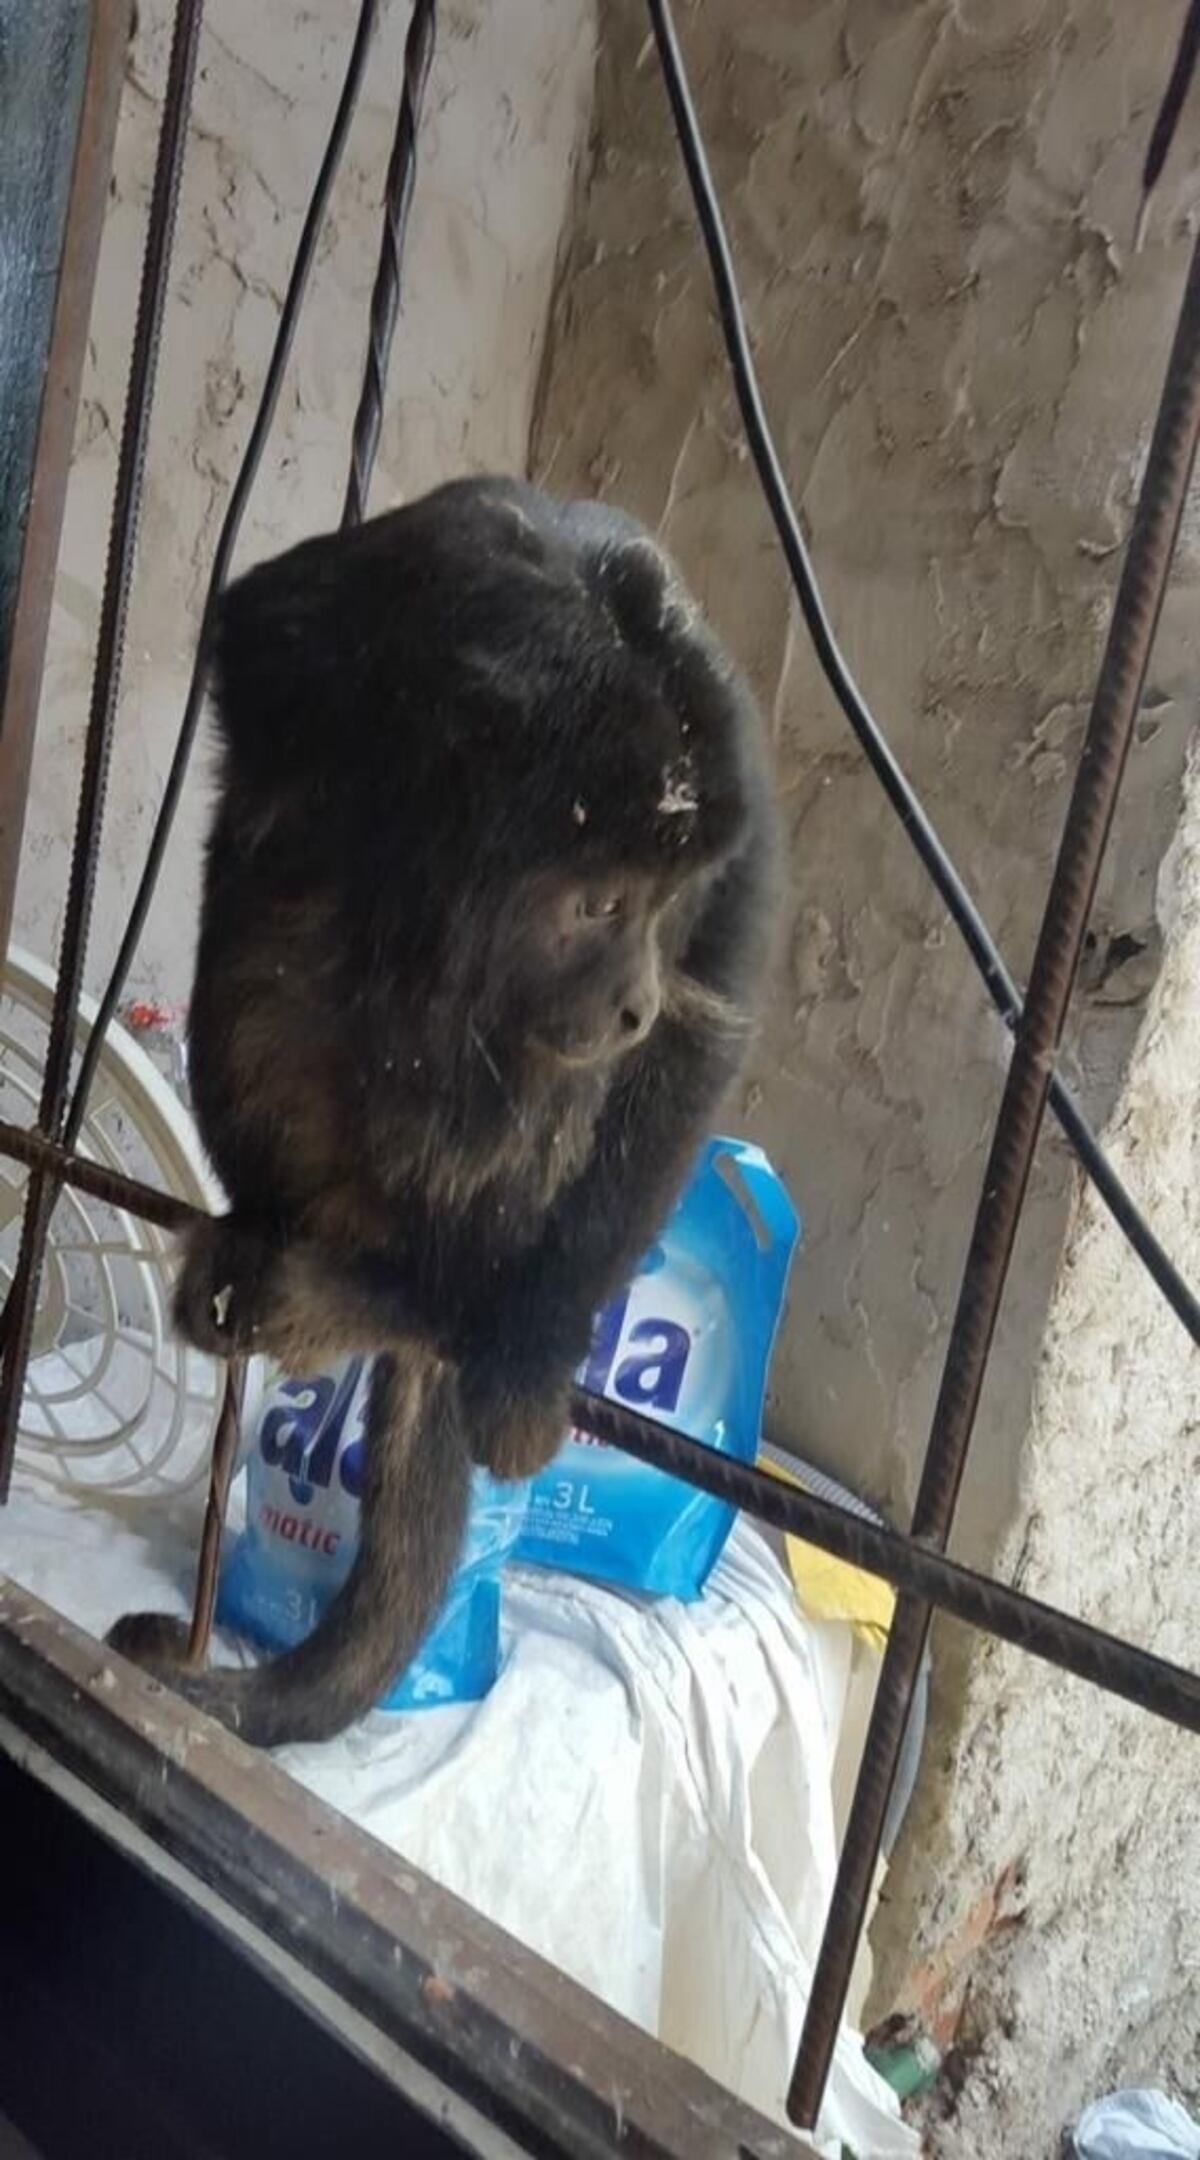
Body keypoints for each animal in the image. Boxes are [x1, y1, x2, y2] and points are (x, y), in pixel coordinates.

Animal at [106, 475, 781, 1748]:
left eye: (663, 904)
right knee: (281, 937)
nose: (628, 997)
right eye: (599, 905)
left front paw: (535, 1345)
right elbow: (273, 863)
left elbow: (710, 1013)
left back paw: (414, 1295)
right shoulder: (314, 656)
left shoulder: (733, 801)